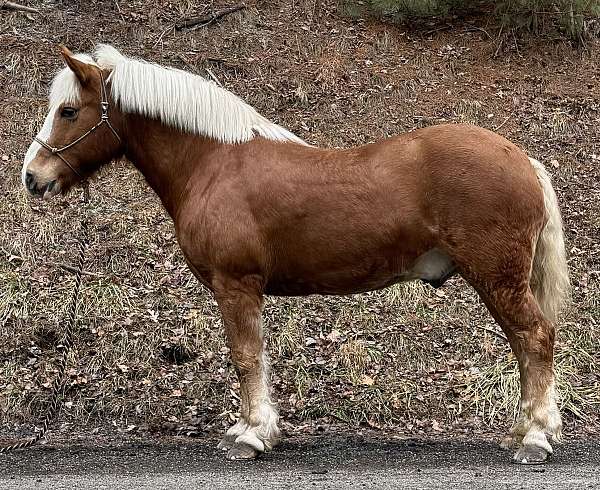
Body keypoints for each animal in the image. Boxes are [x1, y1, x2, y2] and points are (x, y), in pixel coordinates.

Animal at [22, 45, 568, 464]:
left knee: (535, 340)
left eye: (68, 110)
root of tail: (522, 159)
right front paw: (259, 430)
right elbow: (257, 356)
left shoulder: (236, 285)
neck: (214, 162)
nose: (32, 176)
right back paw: (522, 432)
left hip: (498, 279)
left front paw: (249, 436)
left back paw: (536, 439)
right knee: (525, 346)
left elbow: (246, 358)